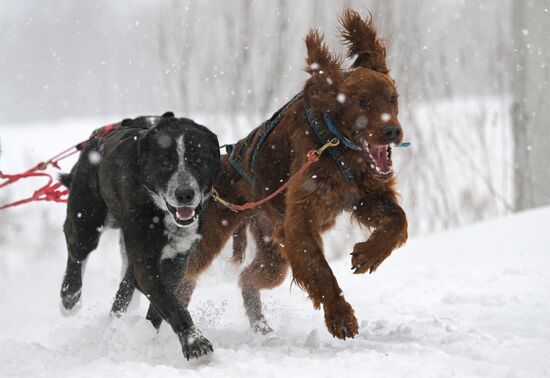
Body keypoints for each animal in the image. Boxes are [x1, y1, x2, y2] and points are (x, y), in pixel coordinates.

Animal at [58, 112, 222, 360]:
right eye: (166, 162)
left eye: (197, 160)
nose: (184, 194)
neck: (160, 211)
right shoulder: (144, 261)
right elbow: (169, 302)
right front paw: (194, 340)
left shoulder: (176, 259)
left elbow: (160, 305)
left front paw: (146, 335)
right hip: (86, 221)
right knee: (77, 250)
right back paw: (70, 296)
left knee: (123, 289)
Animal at [182, 10, 410, 338]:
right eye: (362, 102)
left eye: (392, 97)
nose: (392, 130)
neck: (335, 145)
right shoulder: (300, 218)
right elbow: (320, 269)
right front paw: (340, 316)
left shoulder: (364, 195)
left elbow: (398, 220)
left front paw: (368, 255)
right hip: (210, 234)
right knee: (183, 276)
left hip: (272, 254)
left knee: (247, 278)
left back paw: (260, 325)